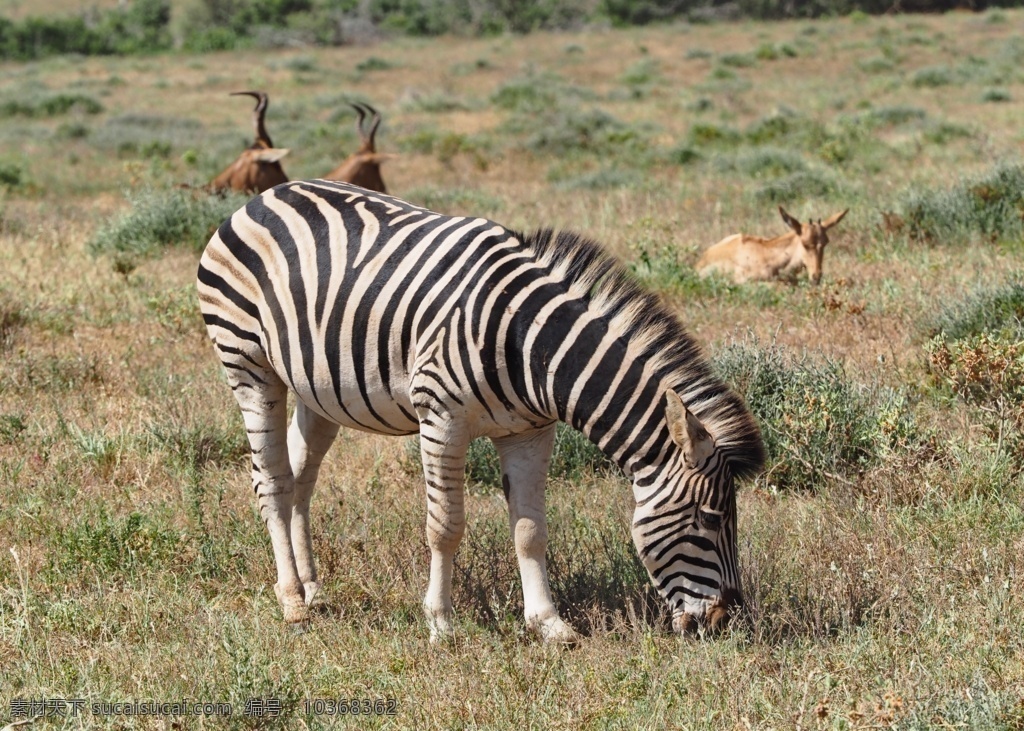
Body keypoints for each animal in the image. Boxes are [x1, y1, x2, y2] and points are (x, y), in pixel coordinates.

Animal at [195, 181, 765, 638]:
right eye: (710, 519)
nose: (725, 621)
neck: (531, 345)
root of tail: (263, 196)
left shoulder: (530, 432)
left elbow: (531, 531)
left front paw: (549, 624)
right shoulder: (441, 418)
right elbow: (444, 526)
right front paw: (441, 624)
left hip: (318, 388)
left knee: (300, 477)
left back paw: (311, 586)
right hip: (249, 364)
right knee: (272, 479)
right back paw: (292, 601)